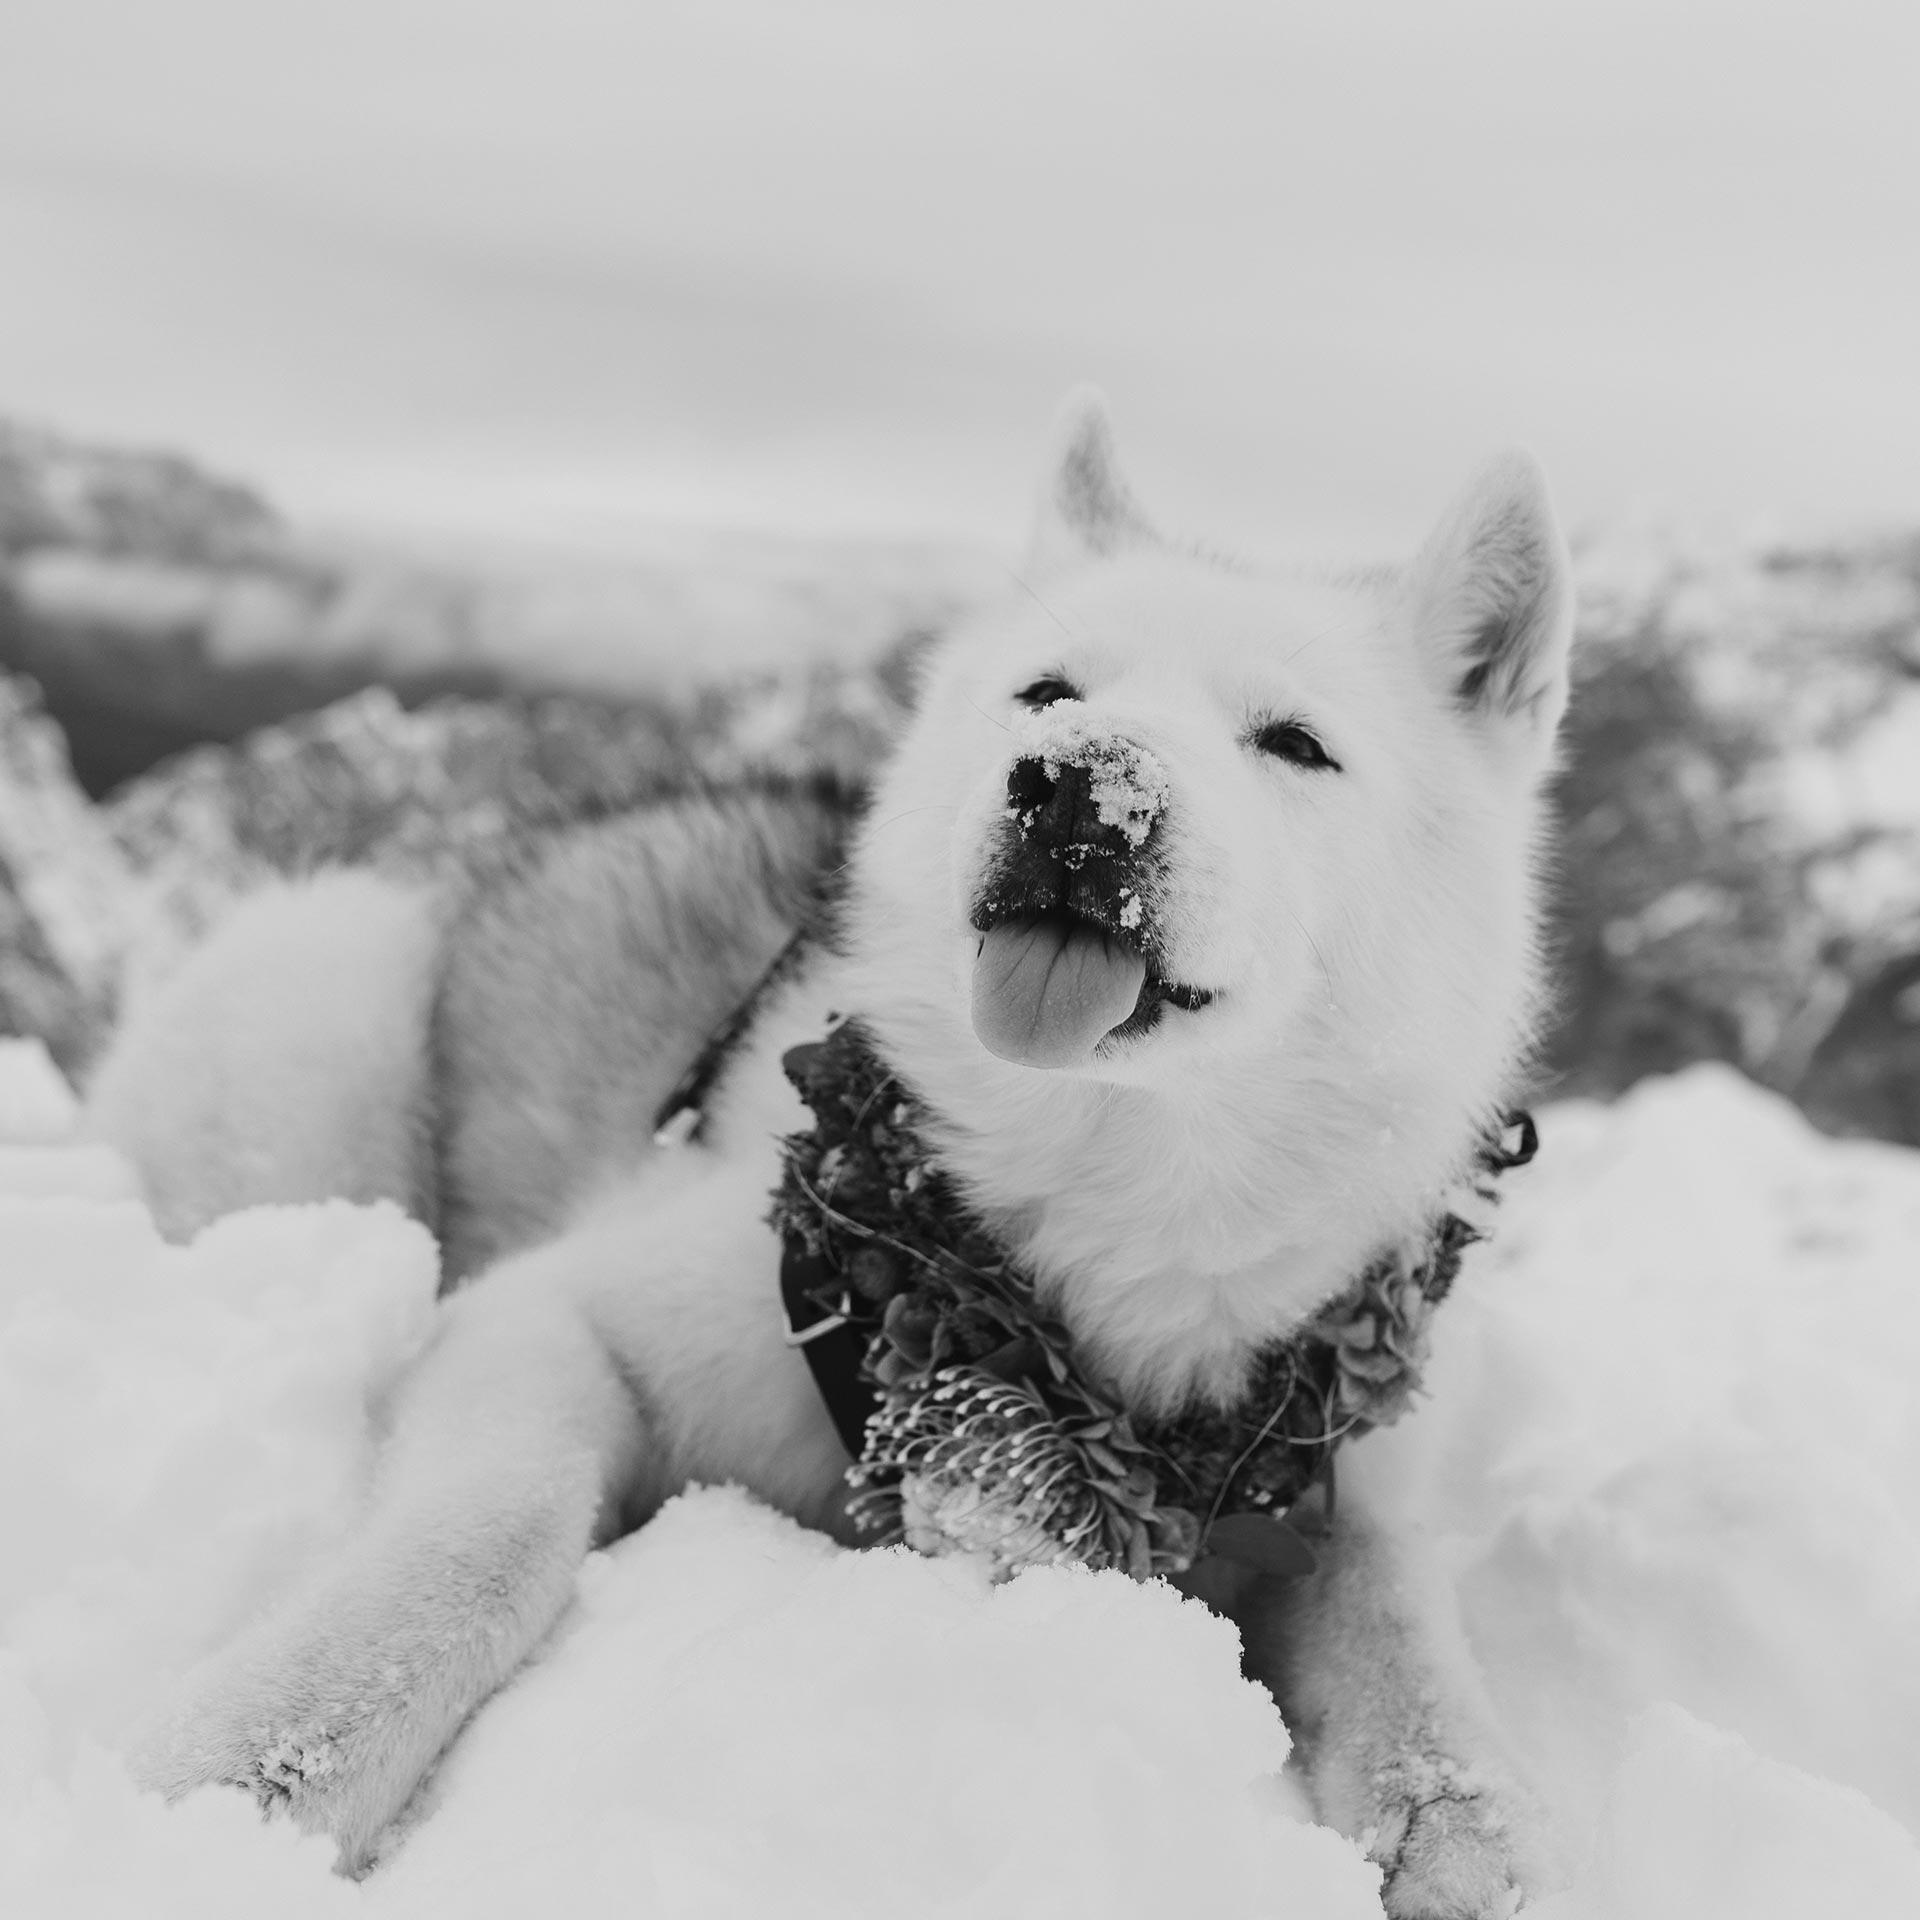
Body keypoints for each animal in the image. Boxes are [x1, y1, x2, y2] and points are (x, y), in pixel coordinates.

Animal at [93, 393, 1574, 1920]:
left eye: (1295, 743)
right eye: (1047, 693)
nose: (1076, 789)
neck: (1111, 1212)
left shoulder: (1346, 1471)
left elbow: (1400, 1625)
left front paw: (1468, 1818)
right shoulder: (561, 1313)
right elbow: (492, 1525)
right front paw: (256, 1765)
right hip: (323, 989)